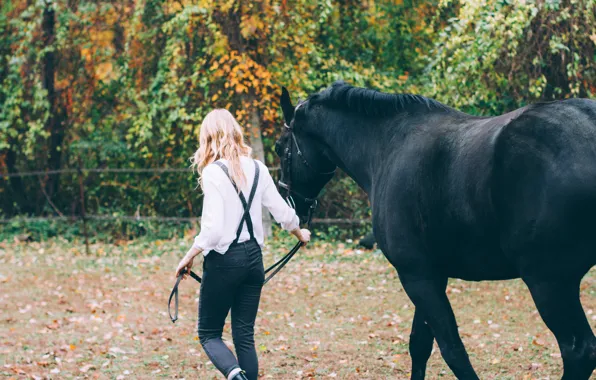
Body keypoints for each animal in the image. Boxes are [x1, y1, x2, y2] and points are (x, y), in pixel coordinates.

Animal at [278, 81, 596, 378]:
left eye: (282, 148)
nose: (289, 202)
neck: (388, 145)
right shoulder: (430, 275)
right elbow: (420, 346)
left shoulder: (416, 276)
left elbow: (452, 350)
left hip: (549, 283)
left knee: (579, 351)